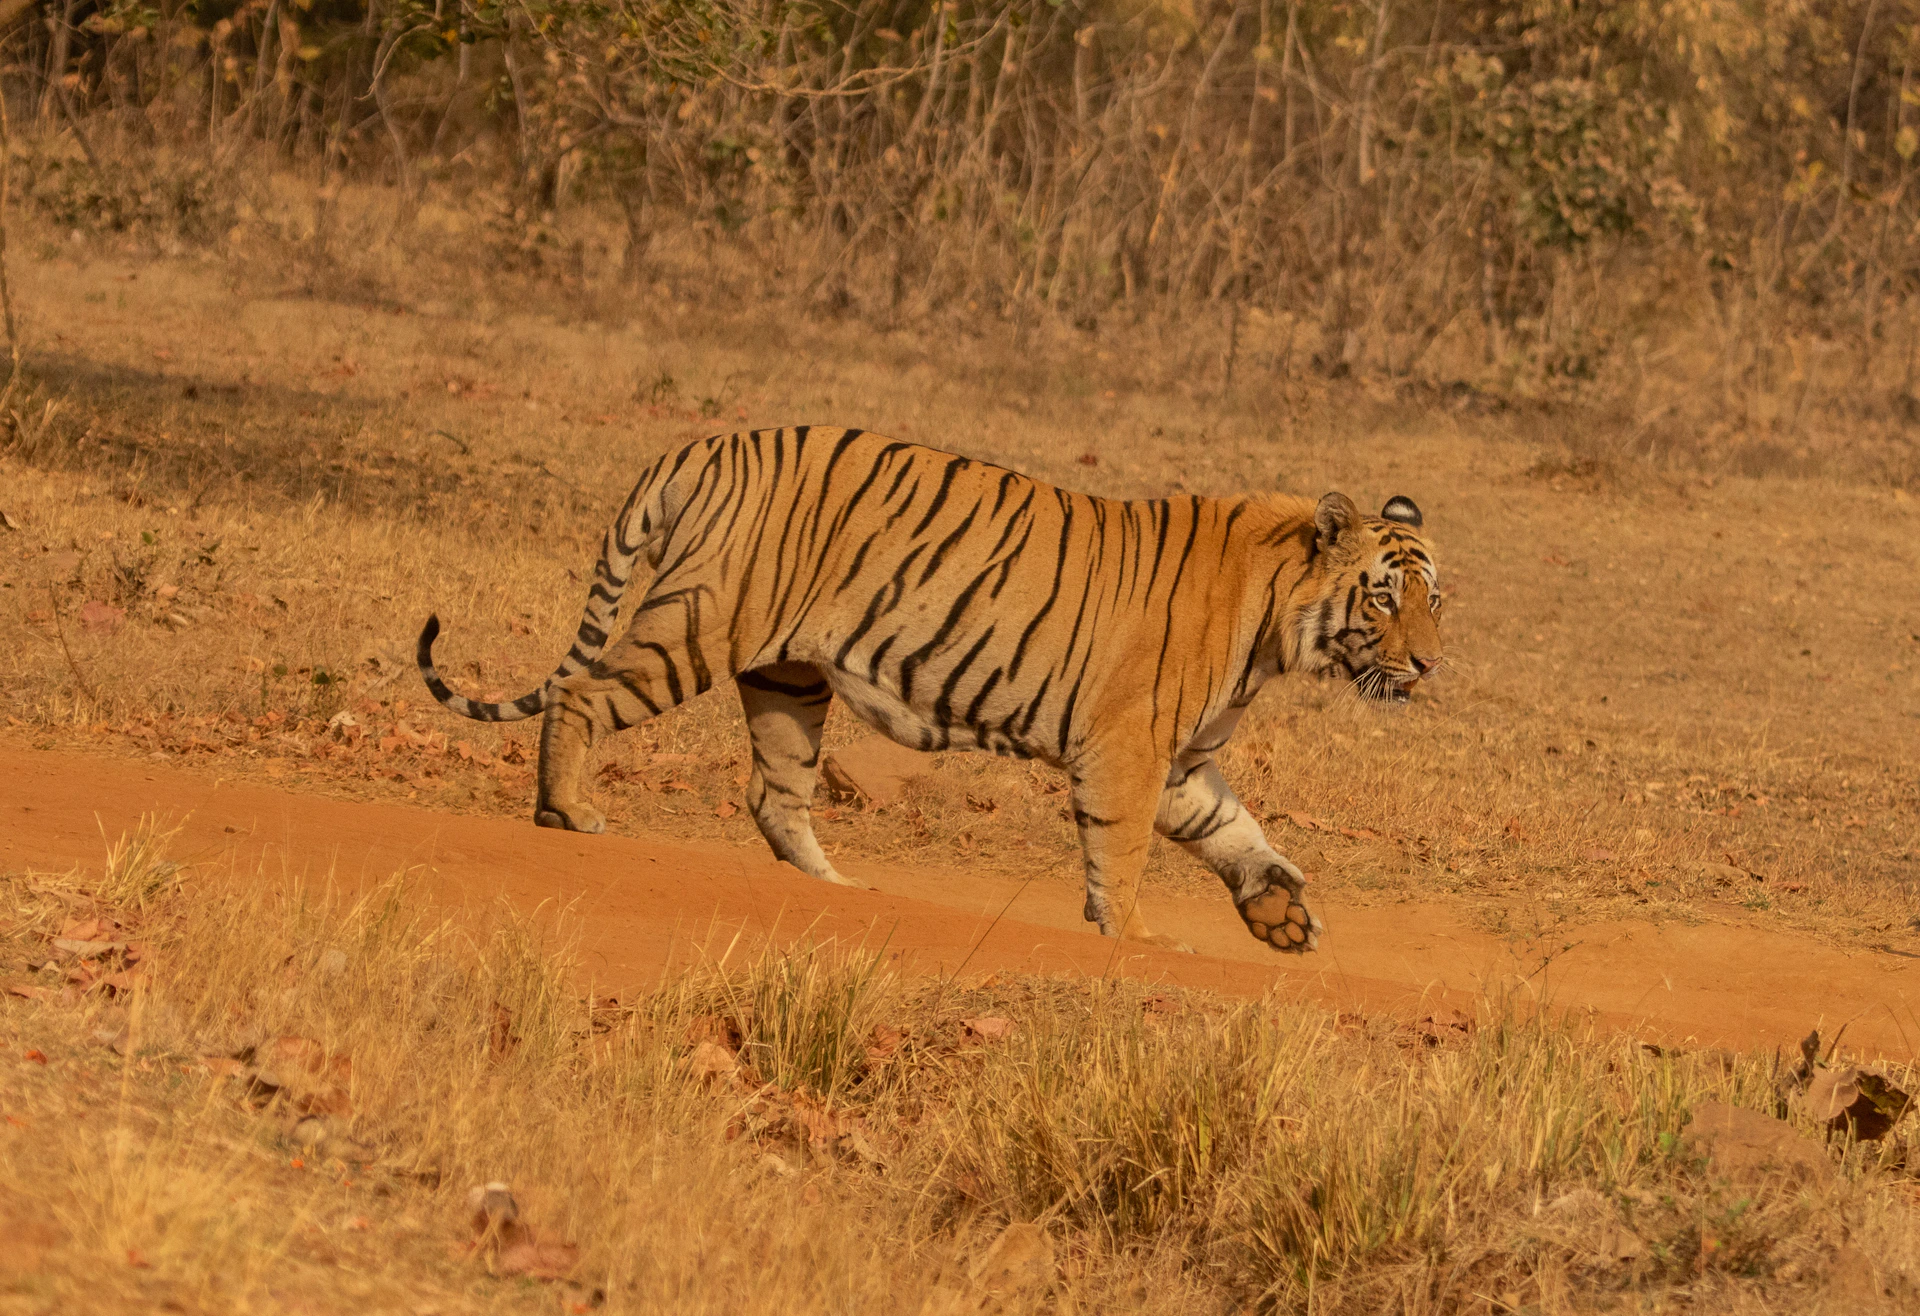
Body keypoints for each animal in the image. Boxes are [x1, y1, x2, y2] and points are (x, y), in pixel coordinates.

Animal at [416, 426, 1442, 954]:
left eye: (1436, 599)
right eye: (1385, 598)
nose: (1431, 665)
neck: (1276, 626)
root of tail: (706, 441)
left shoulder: (1181, 760)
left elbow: (1235, 830)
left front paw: (1280, 913)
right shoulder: (1129, 749)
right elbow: (1124, 852)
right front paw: (1135, 934)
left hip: (789, 679)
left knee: (772, 794)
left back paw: (839, 888)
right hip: (702, 625)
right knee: (581, 694)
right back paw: (567, 812)